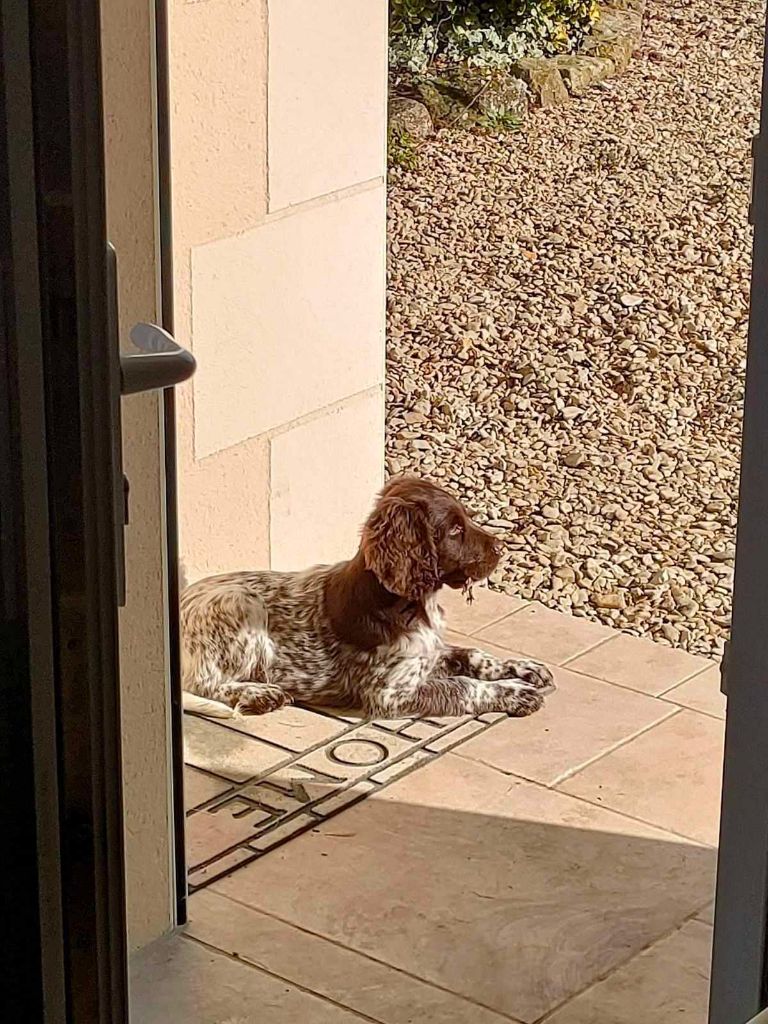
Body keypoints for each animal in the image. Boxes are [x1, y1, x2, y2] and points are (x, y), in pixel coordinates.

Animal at [183, 473, 557, 720]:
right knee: (202, 682)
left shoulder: (429, 652)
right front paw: (514, 692)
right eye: (454, 530)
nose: (501, 548)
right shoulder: (390, 693)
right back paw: (259, 693)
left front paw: (523, 668)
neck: (411, 605)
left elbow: (474, 655)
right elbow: (463, 686)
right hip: (242, 603)